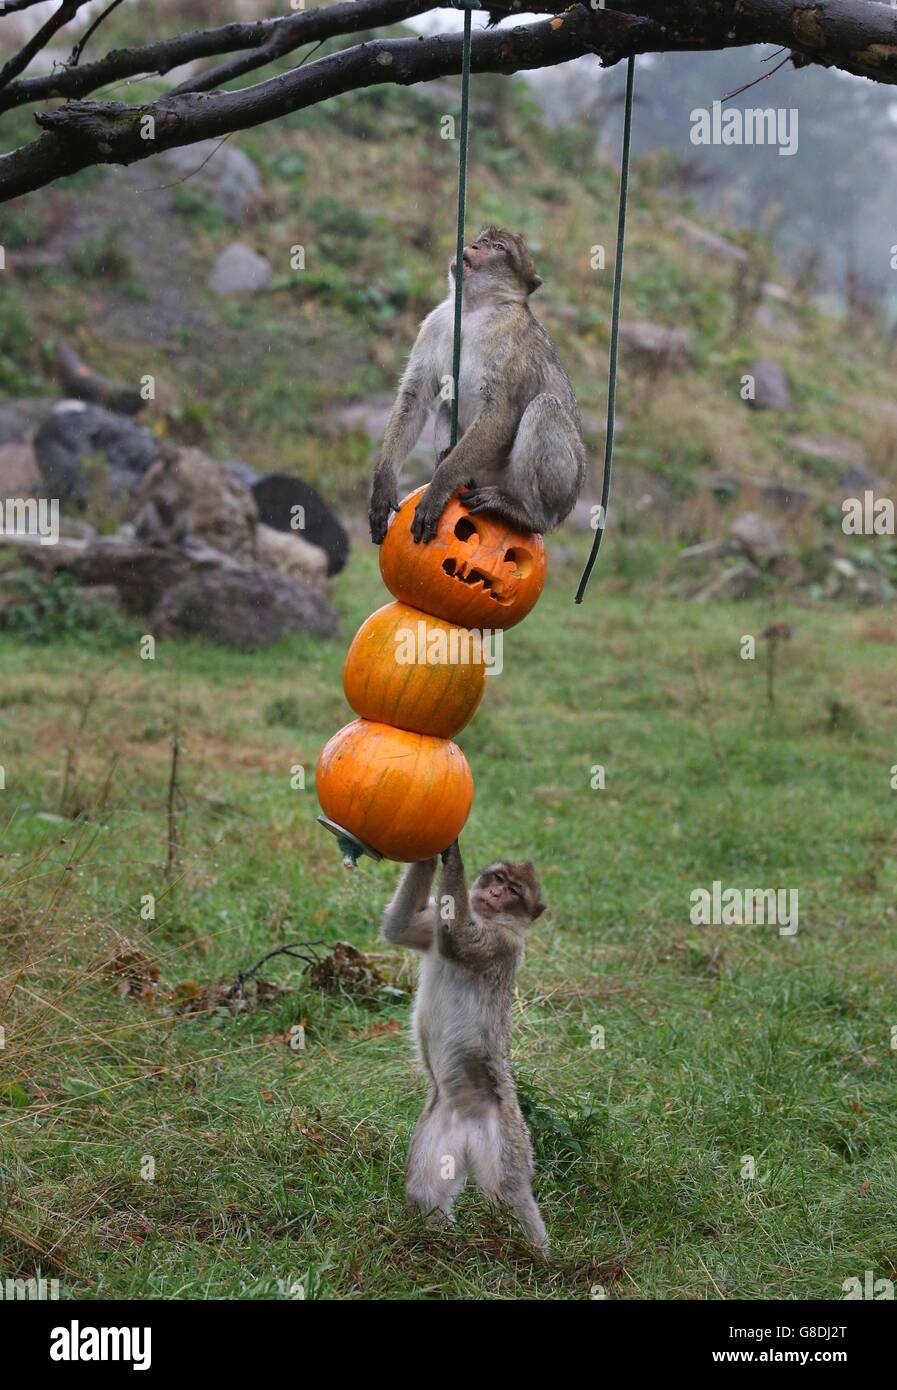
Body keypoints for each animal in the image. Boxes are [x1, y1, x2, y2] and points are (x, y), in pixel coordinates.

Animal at [368, 226, 586, 546]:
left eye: (498, 247)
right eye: (482, 239)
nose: (473, 246)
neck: (475, 308)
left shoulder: (510, 343)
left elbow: (500, 415)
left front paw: (440, 486)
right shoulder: (436, 321)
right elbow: (415, 395)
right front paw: (383, 484)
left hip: (564, 488)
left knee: (545, 407)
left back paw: (527, 513)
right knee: (447, 407)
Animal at [380, 839, 549, 1250]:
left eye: (514, 891)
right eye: (498, 878)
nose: (494, 893)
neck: (492, 919)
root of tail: (467, 1118)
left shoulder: (503, 944)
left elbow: (457, 939)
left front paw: (452, 853)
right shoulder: (430, 926)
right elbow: (398, 928)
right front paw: (427, 852)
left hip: (505, 1134)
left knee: (510, 1192)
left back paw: (541, 1256)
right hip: (439, 1133)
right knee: (425, 1191)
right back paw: (435, 1241)